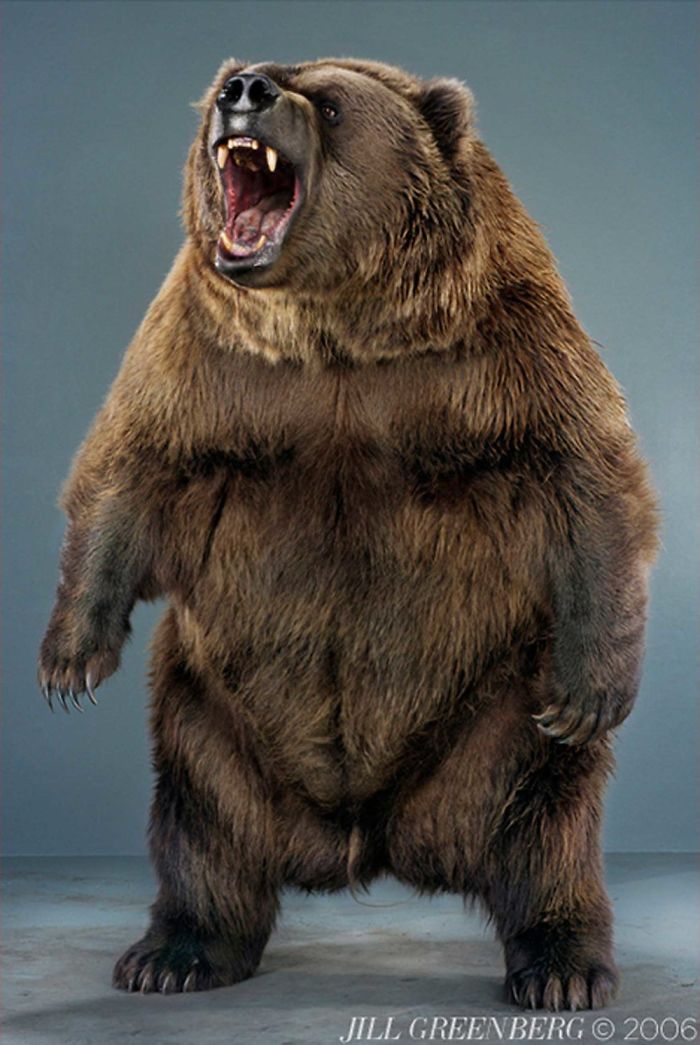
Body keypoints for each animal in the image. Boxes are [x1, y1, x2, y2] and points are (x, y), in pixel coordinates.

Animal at [38, 57, 659, 1009]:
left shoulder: (502, 345)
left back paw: (563, 964)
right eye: (238, 75)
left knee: (546, 821)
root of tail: (369, 840)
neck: (338, 327)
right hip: (210, 713)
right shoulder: (206, 356)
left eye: (328, 103)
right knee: (202, 822)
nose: (244, 90)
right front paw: (70, 662)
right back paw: (175, 951)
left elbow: (581, 472)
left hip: (497, 716)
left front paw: (591, 692)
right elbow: (131, 464)